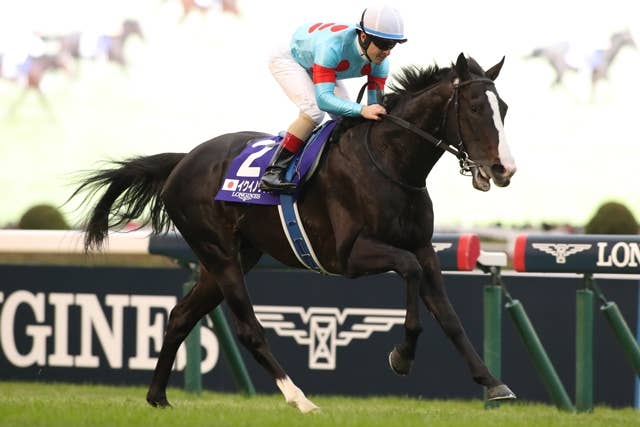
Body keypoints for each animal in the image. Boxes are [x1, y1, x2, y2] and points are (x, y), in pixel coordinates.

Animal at [71, 53, 517, 413]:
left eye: (505, 108)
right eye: (474, 107)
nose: (504, 169)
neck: (390, 162)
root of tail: (183, 161)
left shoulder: (423, 247)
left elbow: (449, 316)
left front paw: (493, 383)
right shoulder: (351, 255)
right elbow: (408, 272)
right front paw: (402, 355)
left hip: (235, 256)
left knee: (181, 315)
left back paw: (158, 397)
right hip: (219, 252)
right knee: (248, 328)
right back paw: (300, 399)